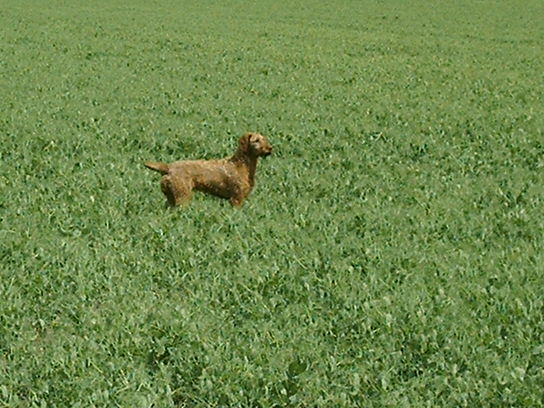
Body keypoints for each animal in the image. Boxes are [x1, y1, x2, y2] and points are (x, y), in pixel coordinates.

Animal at [144, 132, 272, 206]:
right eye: (256, 140)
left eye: (264, 139)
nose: (270, 148)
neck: (242, 164)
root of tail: (169, 167)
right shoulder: (236, 199)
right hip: (182, 196)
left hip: (171, 198)